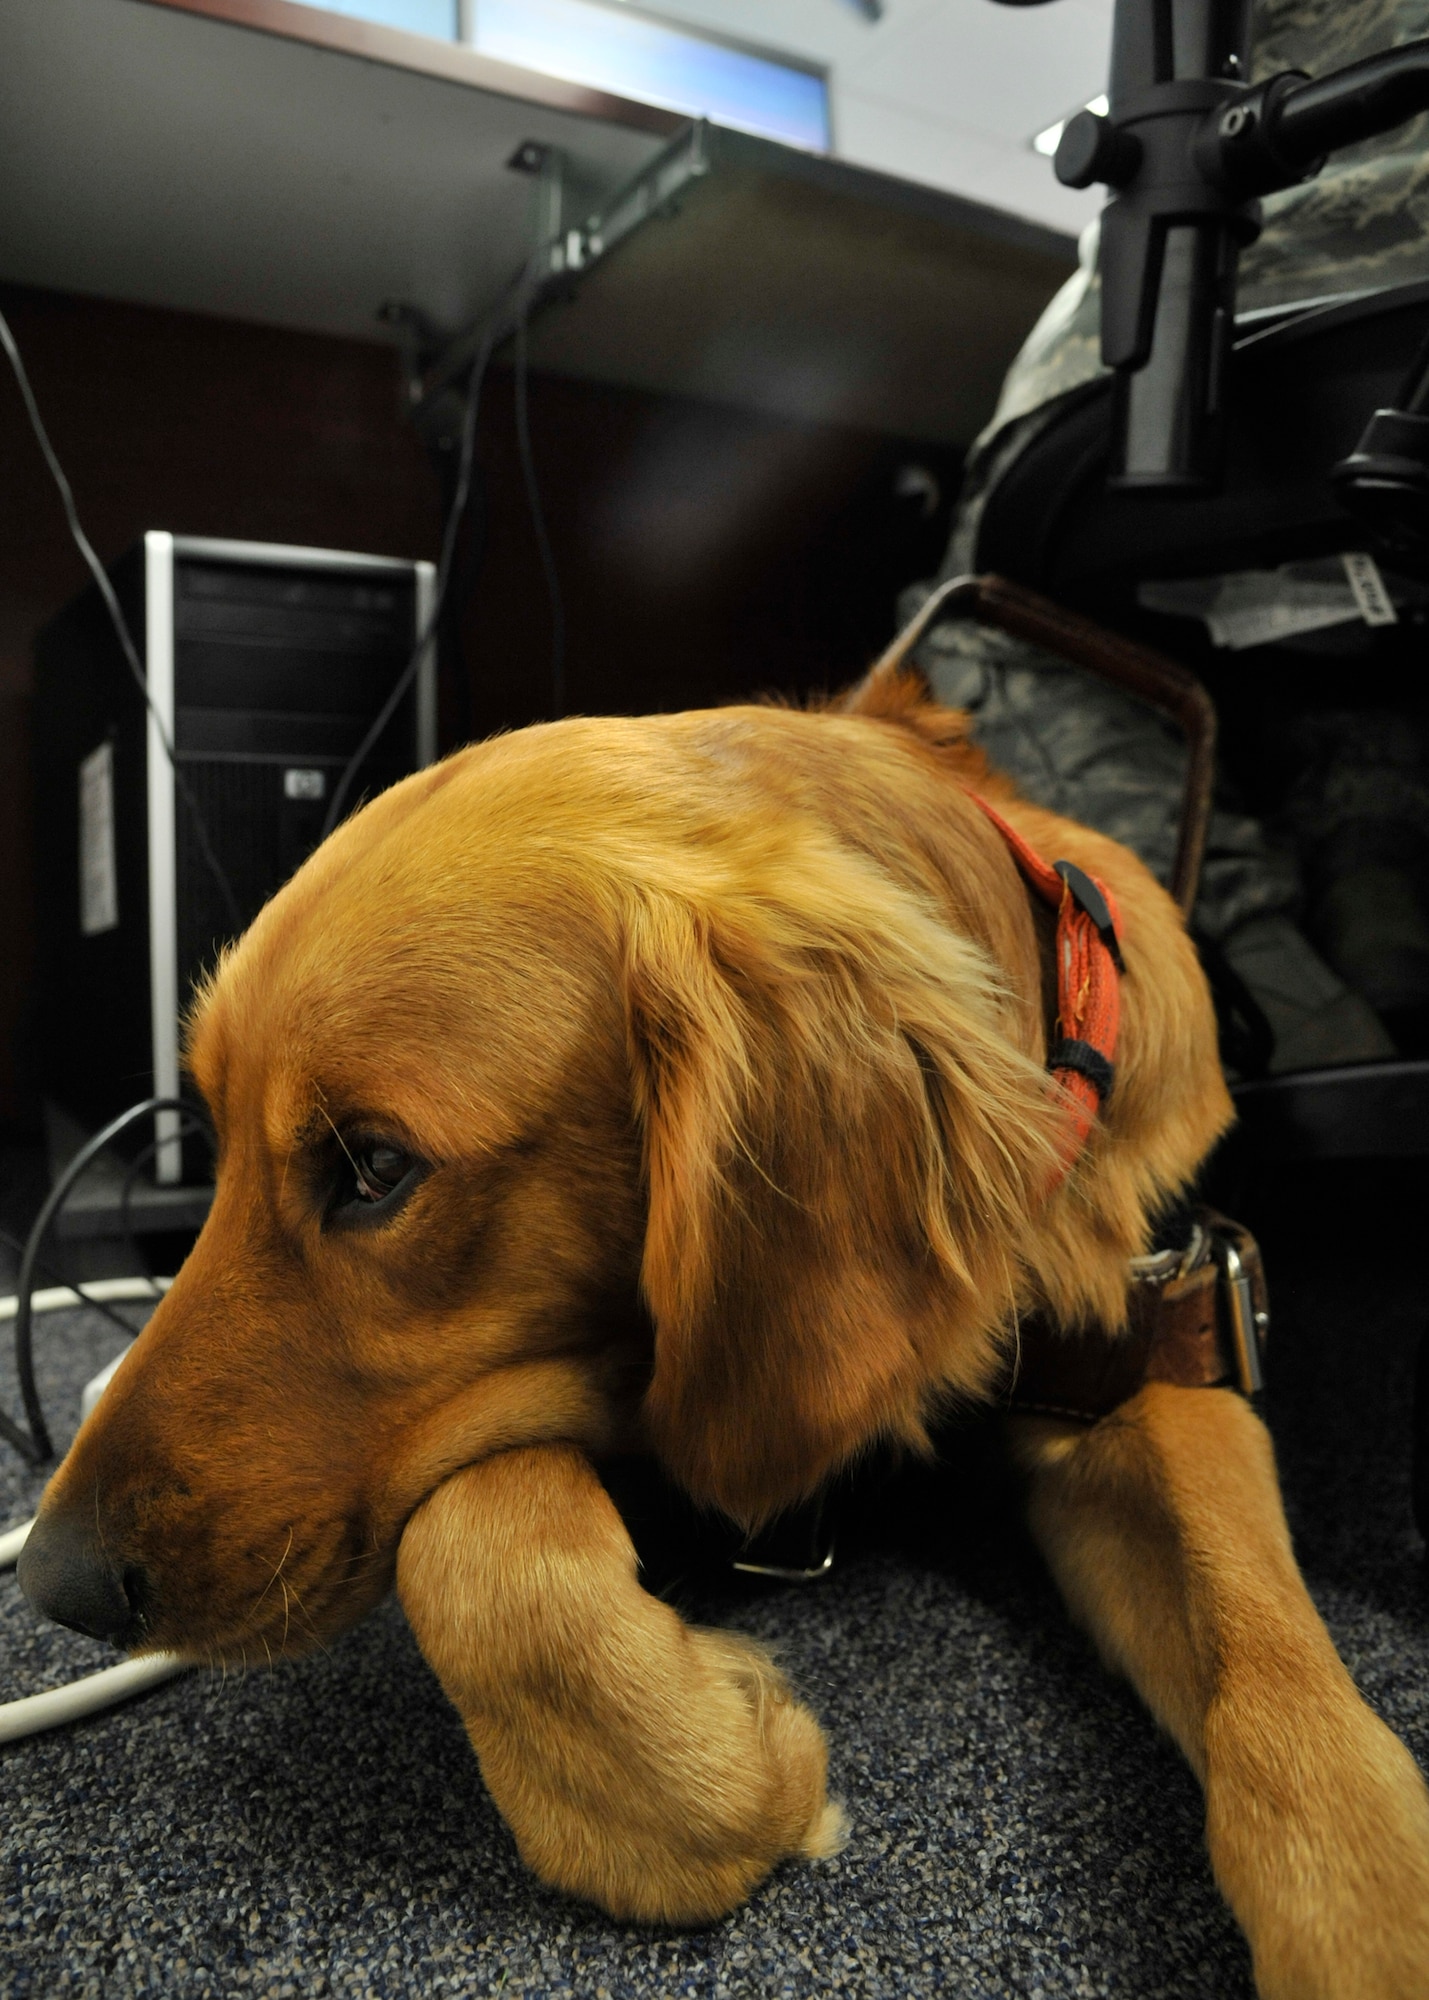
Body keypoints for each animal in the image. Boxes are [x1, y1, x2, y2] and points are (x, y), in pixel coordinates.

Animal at [13, 652, 1424, 1984]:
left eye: (372, 1166)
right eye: (211, 1133)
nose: (51, 1582)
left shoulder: (1152, 1364)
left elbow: (1270, 1668)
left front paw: (1370, 1911)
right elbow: (476, 1554)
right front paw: (723, 1777)